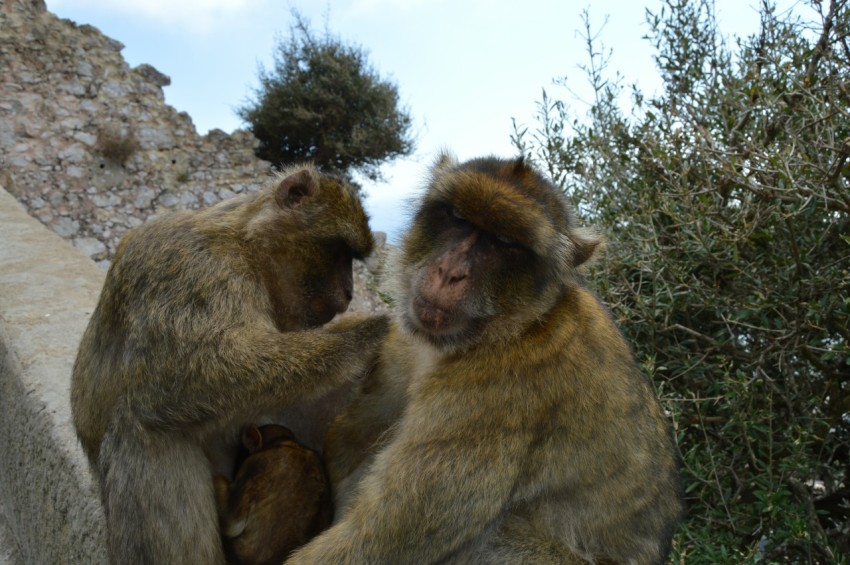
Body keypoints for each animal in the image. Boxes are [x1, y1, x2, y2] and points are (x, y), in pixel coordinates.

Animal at [284, 154, 684, 564]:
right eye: (460, 219)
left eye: (502, 242)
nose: (450, 272)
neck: (509, 329)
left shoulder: (499, 395)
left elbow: (376, 543)